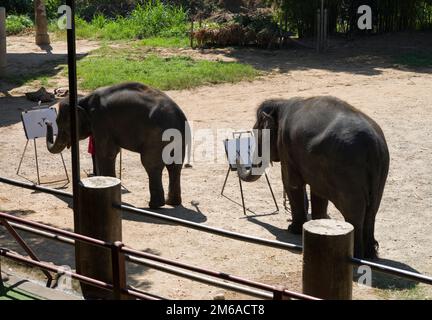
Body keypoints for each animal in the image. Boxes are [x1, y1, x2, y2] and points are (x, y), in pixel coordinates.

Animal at [45, 81, 191, 209]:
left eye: (61, 125)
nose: (47, 122)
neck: (83, 99)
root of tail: (178, 118)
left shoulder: (101, 121)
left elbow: (106, 153)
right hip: (179, 138)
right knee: (175, 166)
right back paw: (172, 202)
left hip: (156, 137)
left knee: (151, 164)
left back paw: (155, 206)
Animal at [238, 96, 390, 258]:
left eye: (255, 133)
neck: (281, 103)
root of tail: (373, 145)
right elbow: (318, 192)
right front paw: (318, 223)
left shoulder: (286, 147)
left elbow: (291, 183)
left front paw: (293, 229)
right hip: (381, 172)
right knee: (372, 210)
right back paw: (371, 254)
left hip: (348, 174)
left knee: (354, 213)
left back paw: (357, 255)